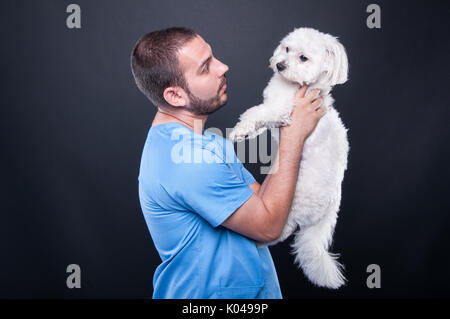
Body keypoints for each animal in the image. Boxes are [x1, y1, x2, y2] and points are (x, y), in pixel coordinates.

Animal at [230, 28, 350, 292]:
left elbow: (257, 112)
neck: (293, 86)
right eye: (286, 49)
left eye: (303, 58)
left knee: (277, 232)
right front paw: (245, 132)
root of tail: (332, 206)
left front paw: (239, 129)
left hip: (292, 206)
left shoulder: (282, 110)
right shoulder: (273, 112)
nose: (280, 65)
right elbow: (258, 118)